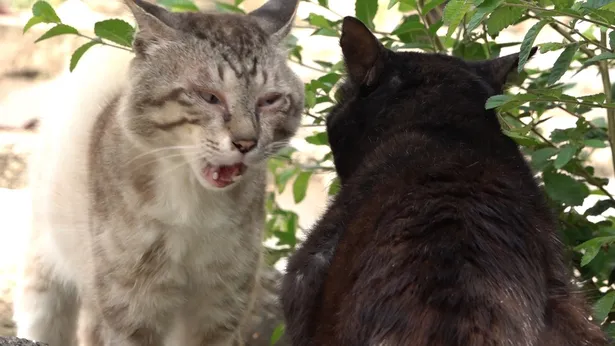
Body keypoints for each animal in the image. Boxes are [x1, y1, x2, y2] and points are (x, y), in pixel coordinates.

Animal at [12, 1, 306, 344]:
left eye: (270, 100)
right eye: (209, 97)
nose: (246, 142)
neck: (196, 207)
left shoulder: (222, 306)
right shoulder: (132, 306)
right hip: (45, 279)